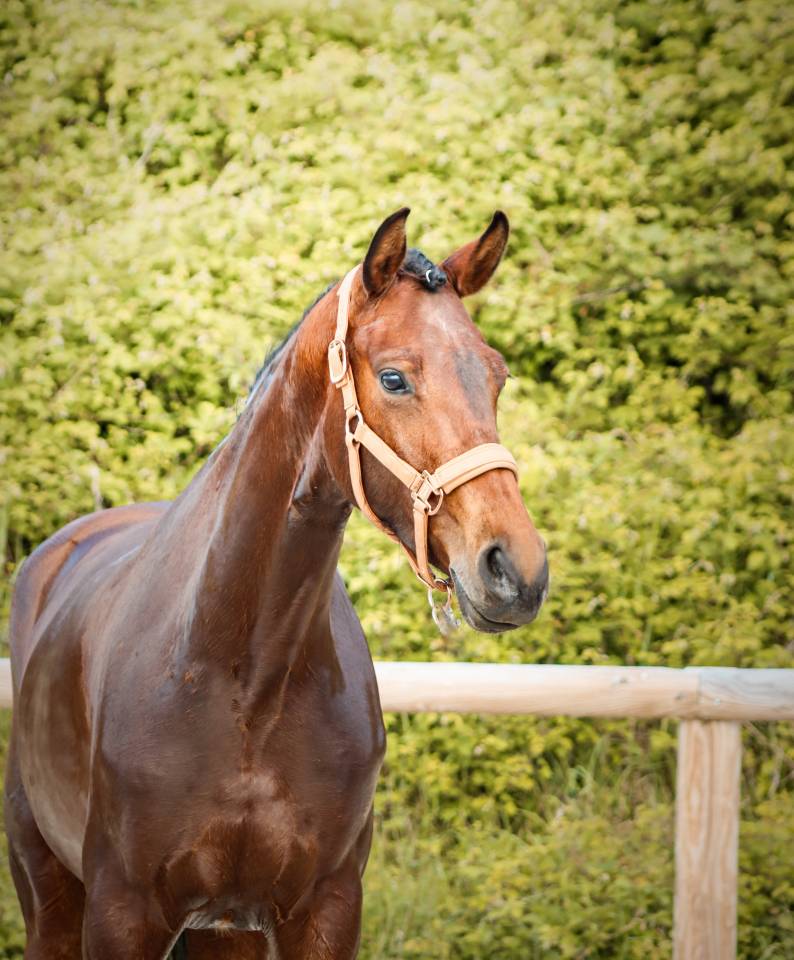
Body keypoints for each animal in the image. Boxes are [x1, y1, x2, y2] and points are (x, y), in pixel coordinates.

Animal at [4, 207, 548, 959]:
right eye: (394, 379)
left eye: (496, 377)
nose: (515, 569)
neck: (243, 677)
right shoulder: (121, 914)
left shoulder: (325, 909)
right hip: (51, 898)